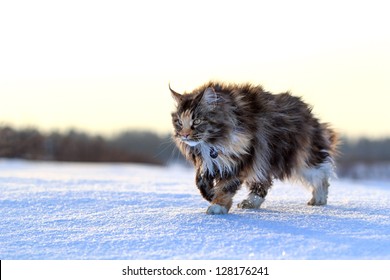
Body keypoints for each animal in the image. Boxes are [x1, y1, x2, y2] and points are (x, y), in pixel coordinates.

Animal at [171, 81, 338, 214]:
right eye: (179, 121)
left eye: (197, 121)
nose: (184, 135)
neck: (211, 143)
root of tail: (309, 114)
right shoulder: (208, 161)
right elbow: (200, 181)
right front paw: (211, 194)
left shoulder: (241, 157)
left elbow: (226, 186)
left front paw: (218, 206)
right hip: (264, 159)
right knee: (263, 184)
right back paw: (250, 203)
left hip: (298, 155)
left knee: (321, 174)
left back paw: (319, 199)